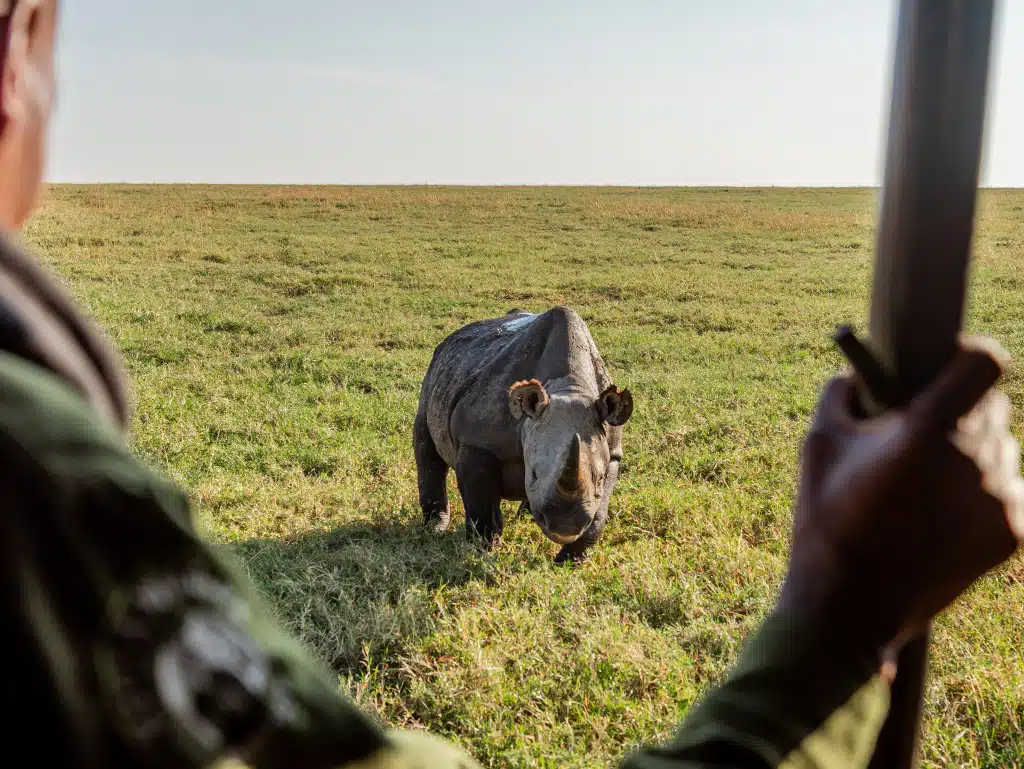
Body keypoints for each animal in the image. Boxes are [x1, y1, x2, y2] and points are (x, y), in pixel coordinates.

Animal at [414, 306, 633, 563]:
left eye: (598, 479)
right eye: (534, 474)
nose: (564, 528)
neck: (570, 387)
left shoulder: (612, 450)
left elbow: (599, 514)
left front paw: (569, 561)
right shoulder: (476, 443)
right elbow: (481, 502)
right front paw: (483, 548)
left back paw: (526, 517)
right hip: (436, 375)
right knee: (426, 444)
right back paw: (435, 528)